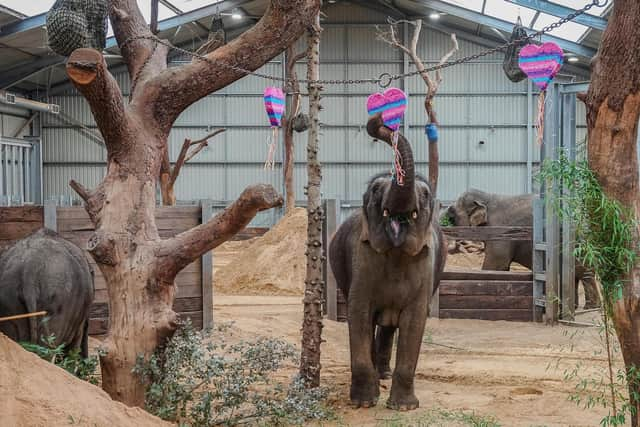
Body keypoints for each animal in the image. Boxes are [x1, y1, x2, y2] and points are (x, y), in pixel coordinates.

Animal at [328, 113, 448, 412]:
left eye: (425, 195)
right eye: (374, 190)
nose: (380, 118)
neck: (395, 253)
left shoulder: (425, 267)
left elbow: (414, 322)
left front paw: (404, 408)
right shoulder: (362, 261)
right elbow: (358, 314)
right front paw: (364, 403)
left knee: (389, 326)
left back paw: (383, 373)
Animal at [444, 189, 600, 310]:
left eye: (452, 215)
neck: (487, 196)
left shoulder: (501, 230)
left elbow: (496, 264)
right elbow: (502, 268)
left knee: (583, 270)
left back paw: (590, 307)